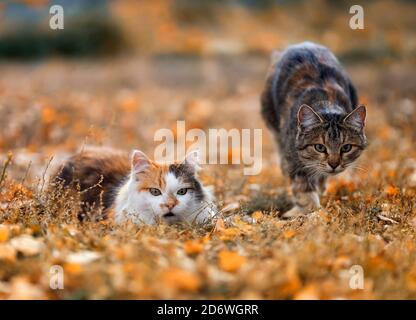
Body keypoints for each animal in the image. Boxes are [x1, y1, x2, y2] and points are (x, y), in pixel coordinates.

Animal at [262, 41, 366, 218]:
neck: (327, 104)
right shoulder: (294, 160)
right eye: (319, 147)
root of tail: (301, 44)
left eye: (346, 147)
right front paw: (310, 211)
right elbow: (303, 188)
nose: (334, 164)